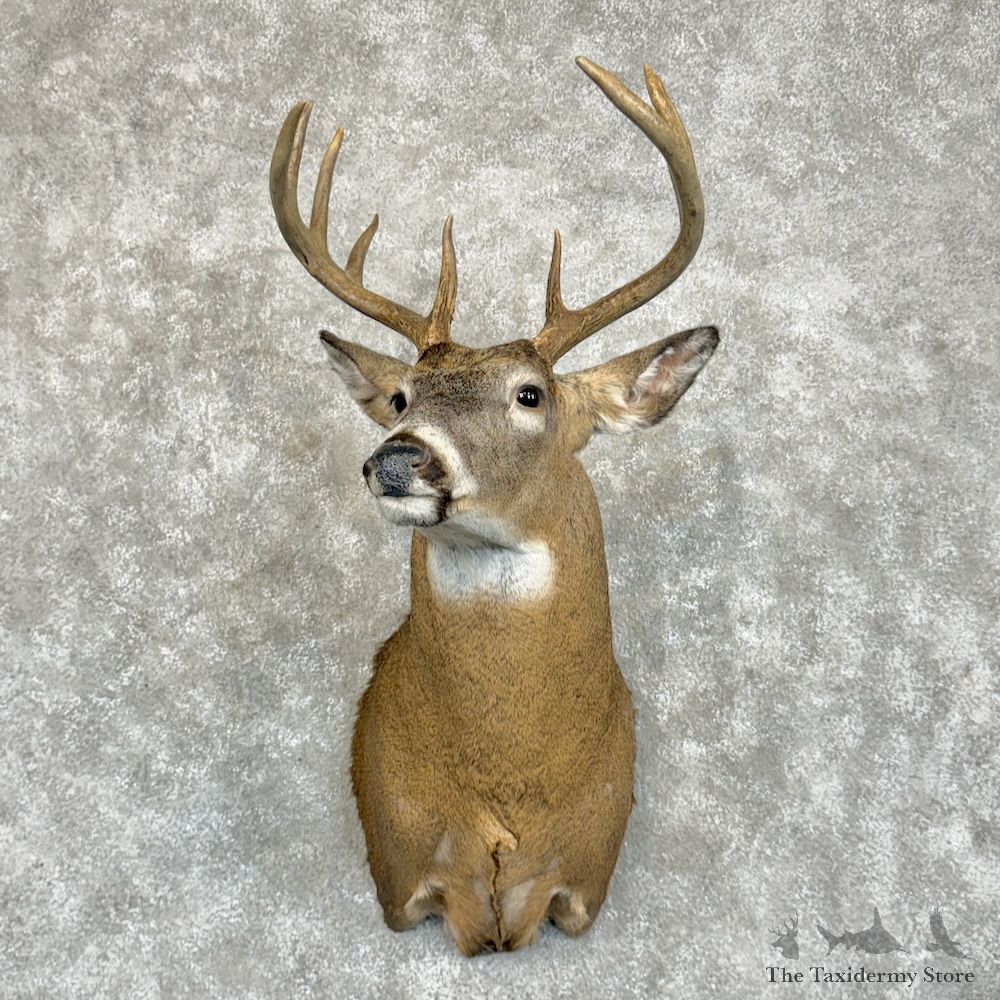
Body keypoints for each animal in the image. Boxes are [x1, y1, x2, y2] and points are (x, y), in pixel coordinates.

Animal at [269, 56, 719, 956]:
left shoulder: (580, 889)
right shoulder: (403, 874)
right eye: (401, 395)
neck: (510, 788)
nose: (397, 457)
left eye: (530, 394)